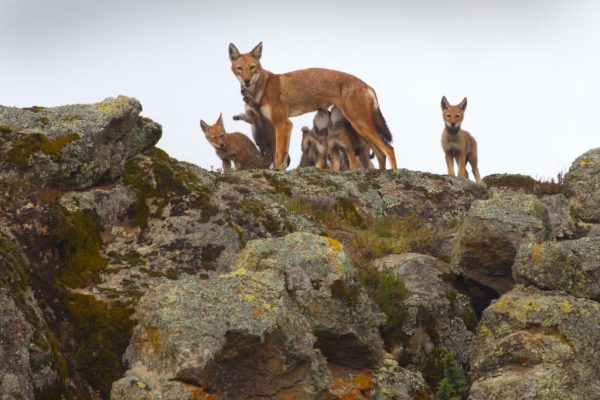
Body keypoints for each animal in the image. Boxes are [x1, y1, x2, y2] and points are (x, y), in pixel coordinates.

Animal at [227, 42, 396, 170]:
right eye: (240, 68)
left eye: (252, 67)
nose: (247, 81)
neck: (263, 87)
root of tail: (368, 86)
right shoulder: (287, 126)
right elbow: (282, 155)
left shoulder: (282, 124)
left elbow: (279, 156)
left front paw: (278, 172)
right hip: (360, 129)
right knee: (381, 154)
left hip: (361, 125)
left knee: (389, 149)